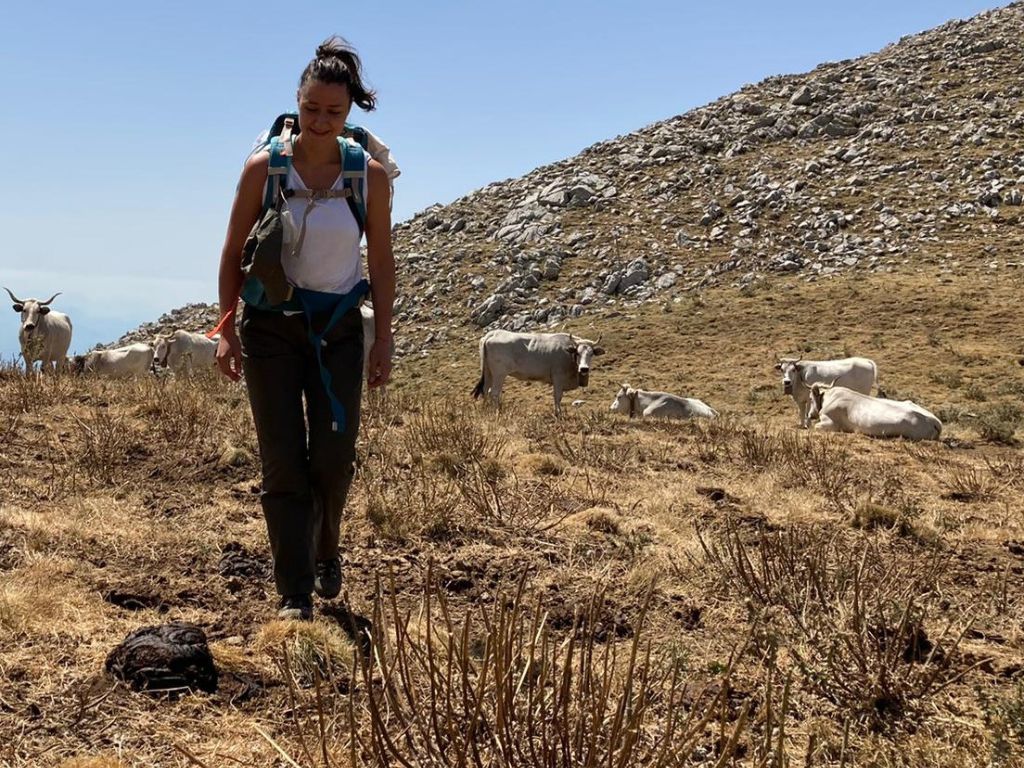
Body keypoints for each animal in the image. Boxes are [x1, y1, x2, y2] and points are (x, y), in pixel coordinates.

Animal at [473, 331, 606, 415]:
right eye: (577, 353)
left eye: (591, 354)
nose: (584, 369)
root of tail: (493, 333)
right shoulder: (558, 377)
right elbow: (558, 396)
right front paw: (558, 414)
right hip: (499, 373)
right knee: (494, 392)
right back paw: (497, 412)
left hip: (488, 372)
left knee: (485, 390)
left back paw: (486, 410)